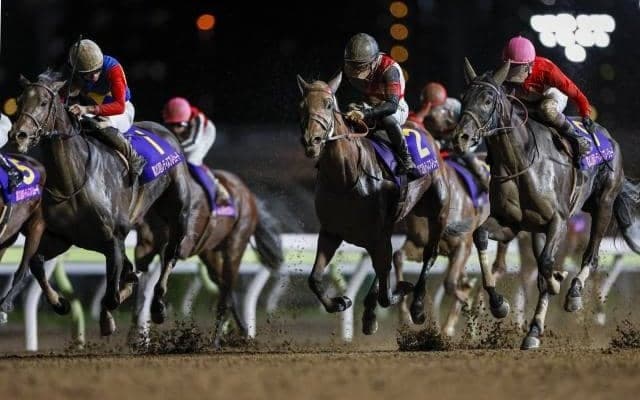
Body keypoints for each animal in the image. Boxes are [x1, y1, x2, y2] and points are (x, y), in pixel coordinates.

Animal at [9, 70, 191, 336]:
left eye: (43, 102)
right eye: (20, 101)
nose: (18, 135)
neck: (74, 181)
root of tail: (165, 131)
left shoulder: (113, 239)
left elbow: (113, 295)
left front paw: (110, 314)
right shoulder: (62, 238)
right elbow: (36, 263)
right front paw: (61, 303)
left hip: (178, 210)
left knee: (170, 254)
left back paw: (158, 305)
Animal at [133, 168, 283, 348]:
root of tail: (247, 193)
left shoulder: (180, 241)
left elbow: (164, 266)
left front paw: (158, 309)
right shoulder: (145, 245)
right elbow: (138, 274)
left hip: (235, 245)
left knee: (225, 295)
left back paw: (217, 341)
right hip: (209, 252)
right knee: (225, 289)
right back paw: (243, 333)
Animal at [297, 73, 450, 334]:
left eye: (328, 104)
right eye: (302, 106)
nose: (312, 141)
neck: (345, 177)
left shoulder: (377, 235)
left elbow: (387, 294)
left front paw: (402, 289)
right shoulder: (331, 232)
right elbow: (314, 278)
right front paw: (340, 302)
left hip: (437, 209)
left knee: (430, 253)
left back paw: (417, 307)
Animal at [452, 60, 640, 349]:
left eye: (487, 99)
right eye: (464, 98)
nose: (460, 137)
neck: (519, 163)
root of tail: (608, 136)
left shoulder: (558, 221)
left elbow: (547, 265)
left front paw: (536, 326)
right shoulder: (510, 223)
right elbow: (481, 235)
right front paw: (499, 304)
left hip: (604, 205)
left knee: (591, 255)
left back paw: (573, 293)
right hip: (542, 228)